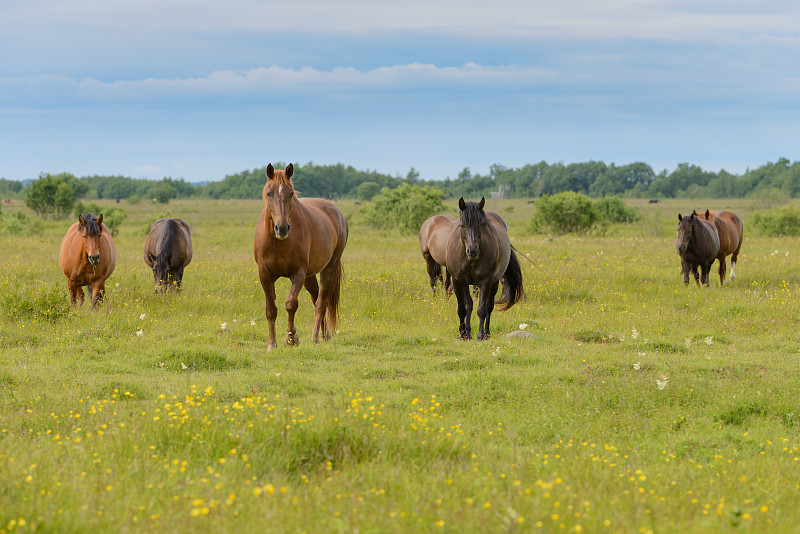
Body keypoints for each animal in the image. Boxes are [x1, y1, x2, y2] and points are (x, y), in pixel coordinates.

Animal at [253, 163, 346, 352]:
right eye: (269, 193)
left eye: (291, 193)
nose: (282, 228)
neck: (277, 243)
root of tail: (336, 212)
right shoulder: (264, 275)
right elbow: (271, 309)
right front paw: (272, 343)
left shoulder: (298, 274)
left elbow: (291, 304)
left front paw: (291, 337)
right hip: (310, 275)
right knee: (316, 297)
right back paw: (325, 335)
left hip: (328, 268)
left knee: (321, 303)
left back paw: (315, 337)